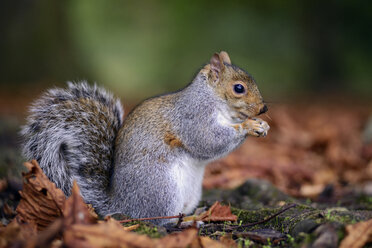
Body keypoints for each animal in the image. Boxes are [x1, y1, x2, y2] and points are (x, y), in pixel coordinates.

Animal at [21, 51, 268, 226]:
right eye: (238, 88)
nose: (263, 108)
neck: (212, 99)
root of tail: (120, 205)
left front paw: (261, 125)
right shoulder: (193, 118)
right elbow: (207, 140)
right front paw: (249, 126)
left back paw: (196, 213)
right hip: (162, 189)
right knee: (161, 222)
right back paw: (189, 222)